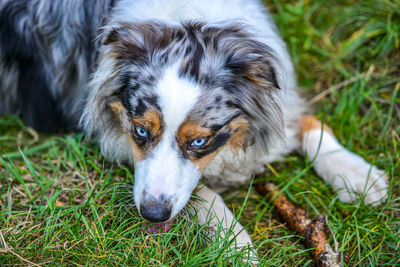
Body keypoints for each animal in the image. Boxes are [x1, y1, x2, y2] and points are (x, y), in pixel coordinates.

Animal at [0, 0, 388, 260]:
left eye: (200, 140)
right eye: (141, 132)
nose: (152, 215)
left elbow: (309, 123)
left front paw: (357, 175)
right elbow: (202, 190)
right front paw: (236, 243)